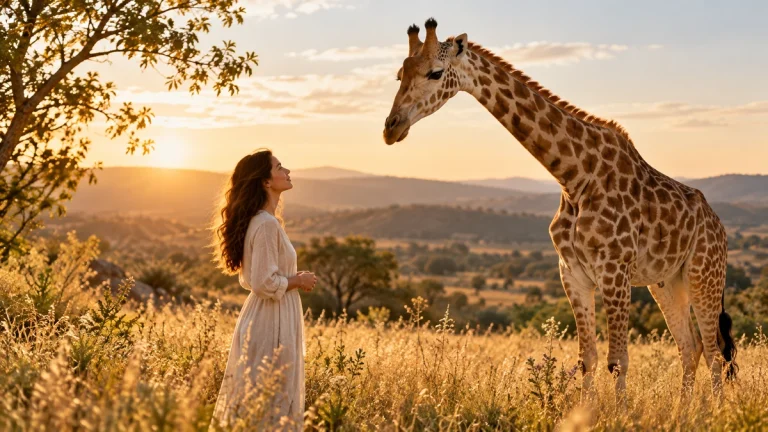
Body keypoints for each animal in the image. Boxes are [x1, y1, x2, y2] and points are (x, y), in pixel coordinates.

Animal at [383, 18, 738, 403]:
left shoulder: (614, 271)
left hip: (704, 275)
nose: (392, 127)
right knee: (691, 347)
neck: (574, 177)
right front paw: (587, 410)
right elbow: (588, 358)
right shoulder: (573, 273)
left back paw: (714, 410)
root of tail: (720, 228)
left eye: (435, 73)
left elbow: (618, 361)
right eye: (399, 74)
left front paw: (620, 412)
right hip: (667, 283)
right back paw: (684, 410)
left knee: (714, 352)